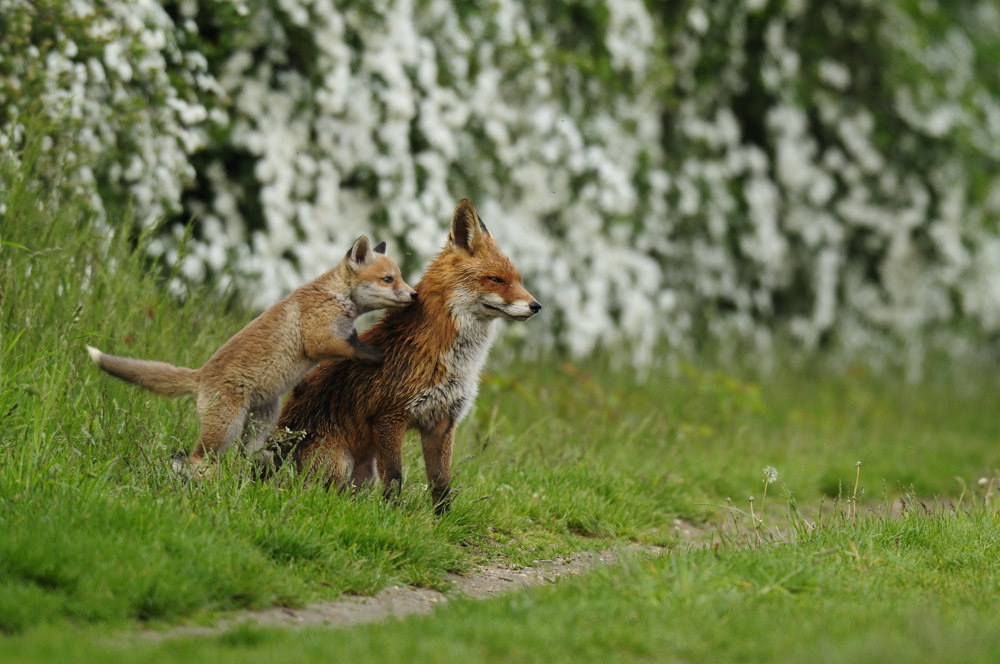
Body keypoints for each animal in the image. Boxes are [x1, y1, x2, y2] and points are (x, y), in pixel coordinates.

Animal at [86, 236, 414, 474]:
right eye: (388, 279)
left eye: (399, 277)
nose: (414, 295)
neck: (336, 296)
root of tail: (200, 375)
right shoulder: (318, 340)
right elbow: (350, 349)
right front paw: (375, 355)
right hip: (225, 427)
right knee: (199, 457)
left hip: (263, 420)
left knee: (246, 453)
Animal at [276, 196, 540, 508]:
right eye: (496, 280)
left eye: (519, 280)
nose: (536, 306)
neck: (457, 361)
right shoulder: (390, 417)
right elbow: (395, 477)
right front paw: (390, 513)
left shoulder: (443, 422)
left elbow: (441, 484)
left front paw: (443, 519)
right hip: (338, 461)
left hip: (363, 473)